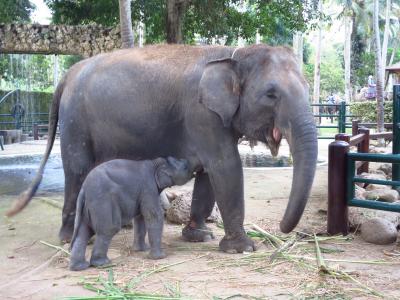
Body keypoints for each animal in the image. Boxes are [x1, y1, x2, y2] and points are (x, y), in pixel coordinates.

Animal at [7, 43, 318, 252]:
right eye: (271, 94)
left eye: (306, 87)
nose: (283, 230)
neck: (233, 54)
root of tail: (69, 74)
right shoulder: (201, 114)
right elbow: (226, 167)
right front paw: (243, 248)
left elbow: (209, 174)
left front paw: (199, 236)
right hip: (75, 121)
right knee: (78, 170)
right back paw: (70, 238)